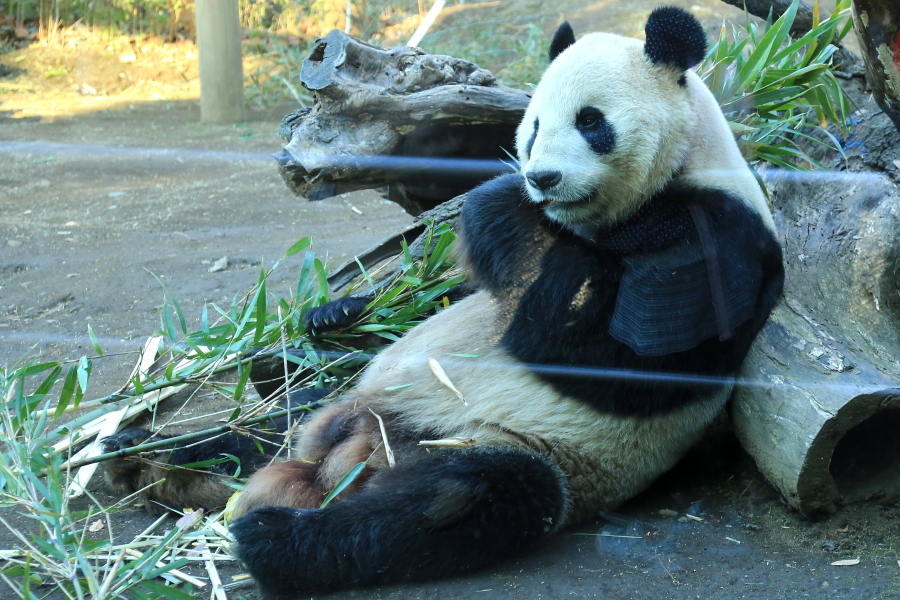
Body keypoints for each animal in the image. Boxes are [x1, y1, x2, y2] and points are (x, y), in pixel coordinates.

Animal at [102, 7, 784, 596]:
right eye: (534, 126)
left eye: (592, 122)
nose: (541, 178)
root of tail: (335, 462)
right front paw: (337, 313)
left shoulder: (713, 232)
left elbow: (632, 362)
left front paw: (496, 208)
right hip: (342, 404)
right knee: (273, 422)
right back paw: (146, 456)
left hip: (502, 444)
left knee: (460, 502)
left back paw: (273, 539)